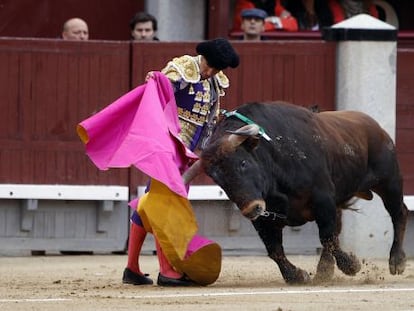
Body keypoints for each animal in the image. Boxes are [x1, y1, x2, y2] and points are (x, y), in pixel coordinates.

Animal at [186, 102, 410, 286]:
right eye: (219, 181)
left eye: (243, 163)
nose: (252, 209)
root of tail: (375, 126)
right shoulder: (264, 219)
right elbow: (275, 250)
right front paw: (297, 276)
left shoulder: (323, 199)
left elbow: (327, 237)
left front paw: (352, 265)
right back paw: (324, 272)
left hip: (389, 181)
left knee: (399, 212)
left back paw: (396, 261)